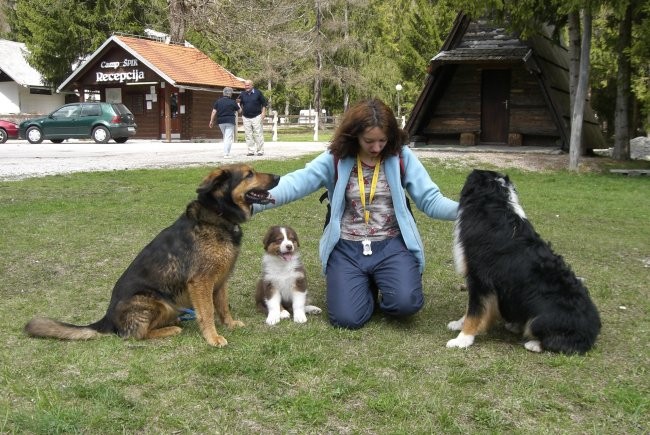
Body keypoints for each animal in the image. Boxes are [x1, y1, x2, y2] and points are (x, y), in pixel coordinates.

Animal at [24, 164, 278, 348]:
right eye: (249, 174)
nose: (277, 176)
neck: (218, 215)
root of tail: (107, 318)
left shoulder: (220, 280)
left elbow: (223, 307)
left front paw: (230, 324)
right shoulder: (201, 282)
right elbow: (207, 312)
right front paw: (213, 338)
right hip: (155, 301)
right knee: (134, 335)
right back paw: (169, 329)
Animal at [442, 169, 600, 354]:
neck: (493, 206)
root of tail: (592, 330)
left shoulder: (480, 279)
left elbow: (475, 312)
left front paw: (462, 339)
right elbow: (472, 310)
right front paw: (458, 324)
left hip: (540, 319)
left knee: (560, 343)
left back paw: (533, 344)